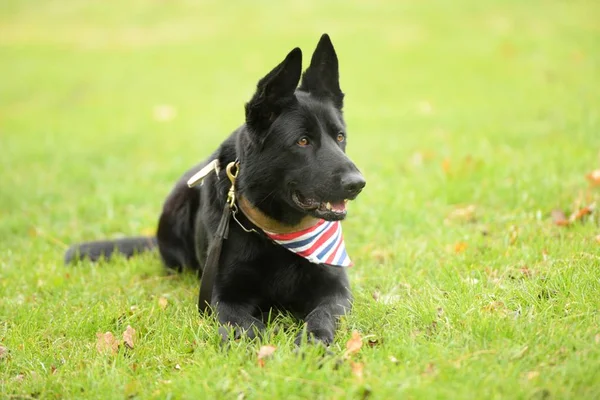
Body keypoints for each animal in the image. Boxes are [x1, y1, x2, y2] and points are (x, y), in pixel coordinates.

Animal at [64, 34, 366, 346]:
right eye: (303, 141)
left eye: (340, 137)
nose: (357, 183)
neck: (275, 231)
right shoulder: (223, 298)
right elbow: (246, 328)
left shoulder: (335, 291)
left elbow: (322, 315)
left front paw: (313, 343)